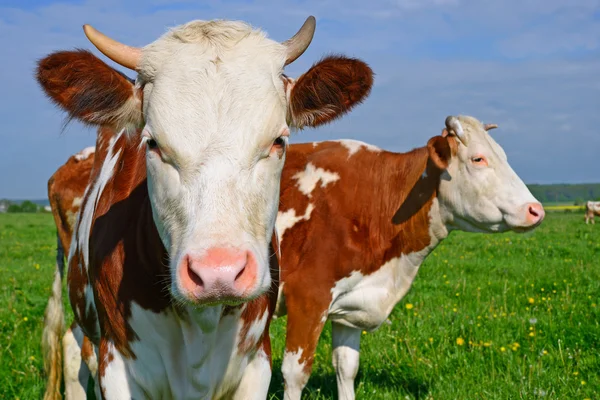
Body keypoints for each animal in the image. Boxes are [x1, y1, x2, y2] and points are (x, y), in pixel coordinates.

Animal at [274, 115, 548, 400]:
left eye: (503, 156)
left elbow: (346, 368)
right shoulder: (308, 297)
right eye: (478, 159)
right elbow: (295, 375)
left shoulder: (352, 303)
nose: (536, 210)